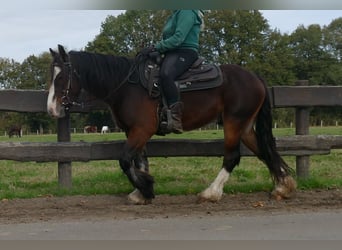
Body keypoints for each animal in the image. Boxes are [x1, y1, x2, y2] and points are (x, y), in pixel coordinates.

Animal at [46, 45, 296, 205]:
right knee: (265, 151)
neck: (127, 87)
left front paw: (146, 188)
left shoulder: (141, 130)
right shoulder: (134, 132)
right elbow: (140, 161)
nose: (51, 108)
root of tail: (255, 77)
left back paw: (211, 193)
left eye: (61, 78)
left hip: (233, 123)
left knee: (232, 157)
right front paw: (141, 192)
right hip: (244, 126)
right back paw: (283, 188)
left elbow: (125, 160)